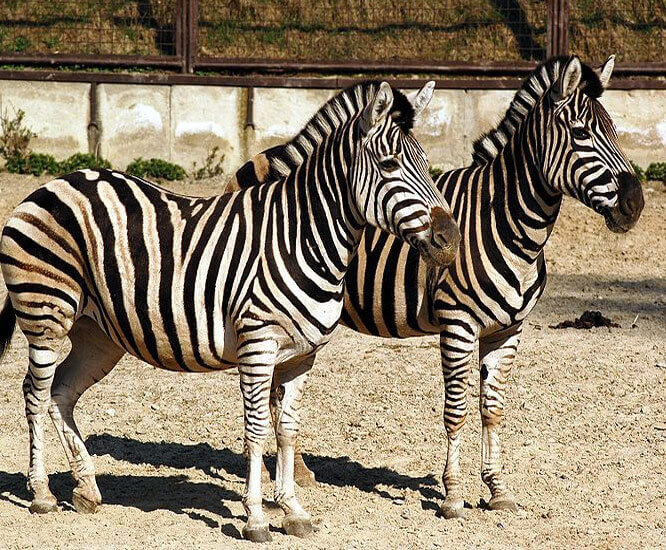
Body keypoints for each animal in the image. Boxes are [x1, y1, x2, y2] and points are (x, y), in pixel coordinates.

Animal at [0, 81, 461, 542]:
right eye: (389, 164)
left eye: (425, 163)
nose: (451, 240)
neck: (302, 236)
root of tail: (53, 184)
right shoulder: (257, 344)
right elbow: (256, 432)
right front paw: (255, 517)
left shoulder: (302, 356)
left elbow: (286, 430)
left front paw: (293, 510)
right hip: (45, 313)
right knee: (35, 394)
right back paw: (41, 493)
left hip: (98, 333)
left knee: (61, 393)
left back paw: (87, 489)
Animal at [228, 55, 645, 517]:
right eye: (581, 132)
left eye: (614, 129)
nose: (635, 204)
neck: (508, 223)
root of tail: (262, 157)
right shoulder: (458, 324)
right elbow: (457, 409)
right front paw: (453, 494)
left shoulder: (509, 330)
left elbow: (493, 408)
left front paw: (497, 489)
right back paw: (293, 473)